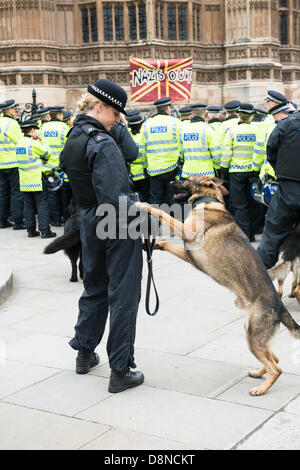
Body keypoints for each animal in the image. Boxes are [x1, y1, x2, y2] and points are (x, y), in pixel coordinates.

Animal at [137, 176, 300, 396]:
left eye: (186, 179)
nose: (170, 180)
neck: (208, 201)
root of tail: (280, 307)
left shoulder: (187, 232)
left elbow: (163, 214)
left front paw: (144, 205)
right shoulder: (187, 253)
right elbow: (169, 245)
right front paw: (154, 244)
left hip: (253, 336)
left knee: (277, 368)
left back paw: (261, 389)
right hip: (253, 335)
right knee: (274, 359)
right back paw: (258, 373)